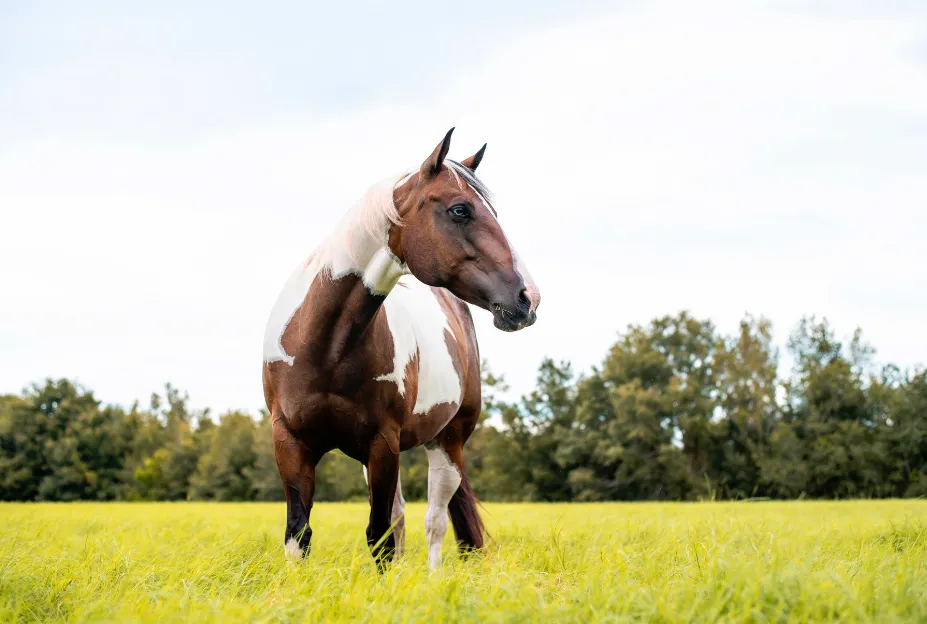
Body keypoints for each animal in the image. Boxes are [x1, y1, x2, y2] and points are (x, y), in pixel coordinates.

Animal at [261, 128, 540, 570]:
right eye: (460, 210)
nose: (528, 298)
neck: (324, 347)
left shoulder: (383, 443)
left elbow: (380, 536)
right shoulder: (290, 442)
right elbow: (299, 535)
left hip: (447, 443)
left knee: (434, 522)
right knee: (403, 516)